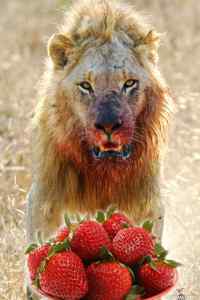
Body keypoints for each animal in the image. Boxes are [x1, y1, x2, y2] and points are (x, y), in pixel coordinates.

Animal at [26, 1, 173, 298]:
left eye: (129, 83)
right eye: (86, 85)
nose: (108, 126)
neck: (103, 173)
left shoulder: (148, 207)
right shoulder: (43, 204)